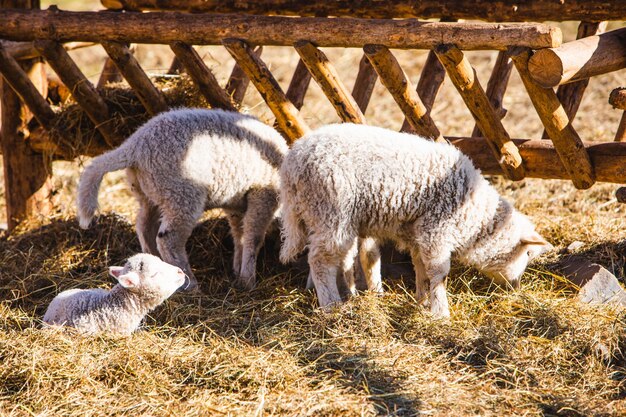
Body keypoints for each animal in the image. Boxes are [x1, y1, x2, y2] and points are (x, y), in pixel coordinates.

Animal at [76, 108, 288, 290]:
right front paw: (248, 281)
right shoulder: (263, 195)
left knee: (144, 227)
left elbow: (239, 236)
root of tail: (135, 146)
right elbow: (254, 237)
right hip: (182, 193)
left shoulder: (236, 204)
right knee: (168, 239)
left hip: (151, 192)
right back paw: (190, 284)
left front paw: (237, 270)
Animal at [280, 123, 552, 318]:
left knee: (338, 257)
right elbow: (439, 273)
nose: (516, 288)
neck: (473, 217)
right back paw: (331, 306)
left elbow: (420, 267)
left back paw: (349, 294)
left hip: (325, 216)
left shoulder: (419, 234)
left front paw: (421, 300)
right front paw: (441, 312)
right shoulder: (436, 231)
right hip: (331, 210)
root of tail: (292, 164)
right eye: (527, 254)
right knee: (320, 261)